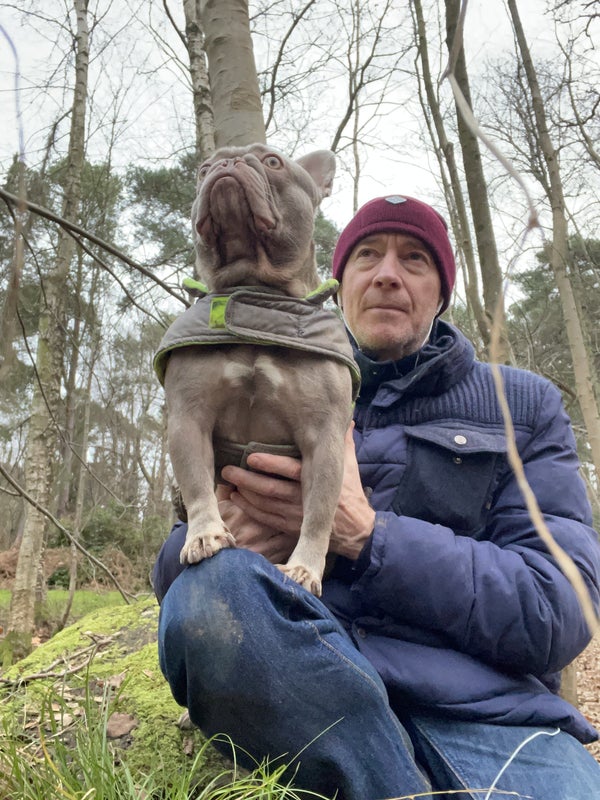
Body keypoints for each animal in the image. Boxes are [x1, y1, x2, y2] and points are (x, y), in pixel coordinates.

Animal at [154, 143, 358, 596]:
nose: (226, 164)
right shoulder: (188, 418)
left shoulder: (325, 439)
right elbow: (197, 483)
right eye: (202, 170)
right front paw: (205, 535)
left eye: (272, 162)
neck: (256, 294)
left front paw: (304, 569)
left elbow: (319, 511)